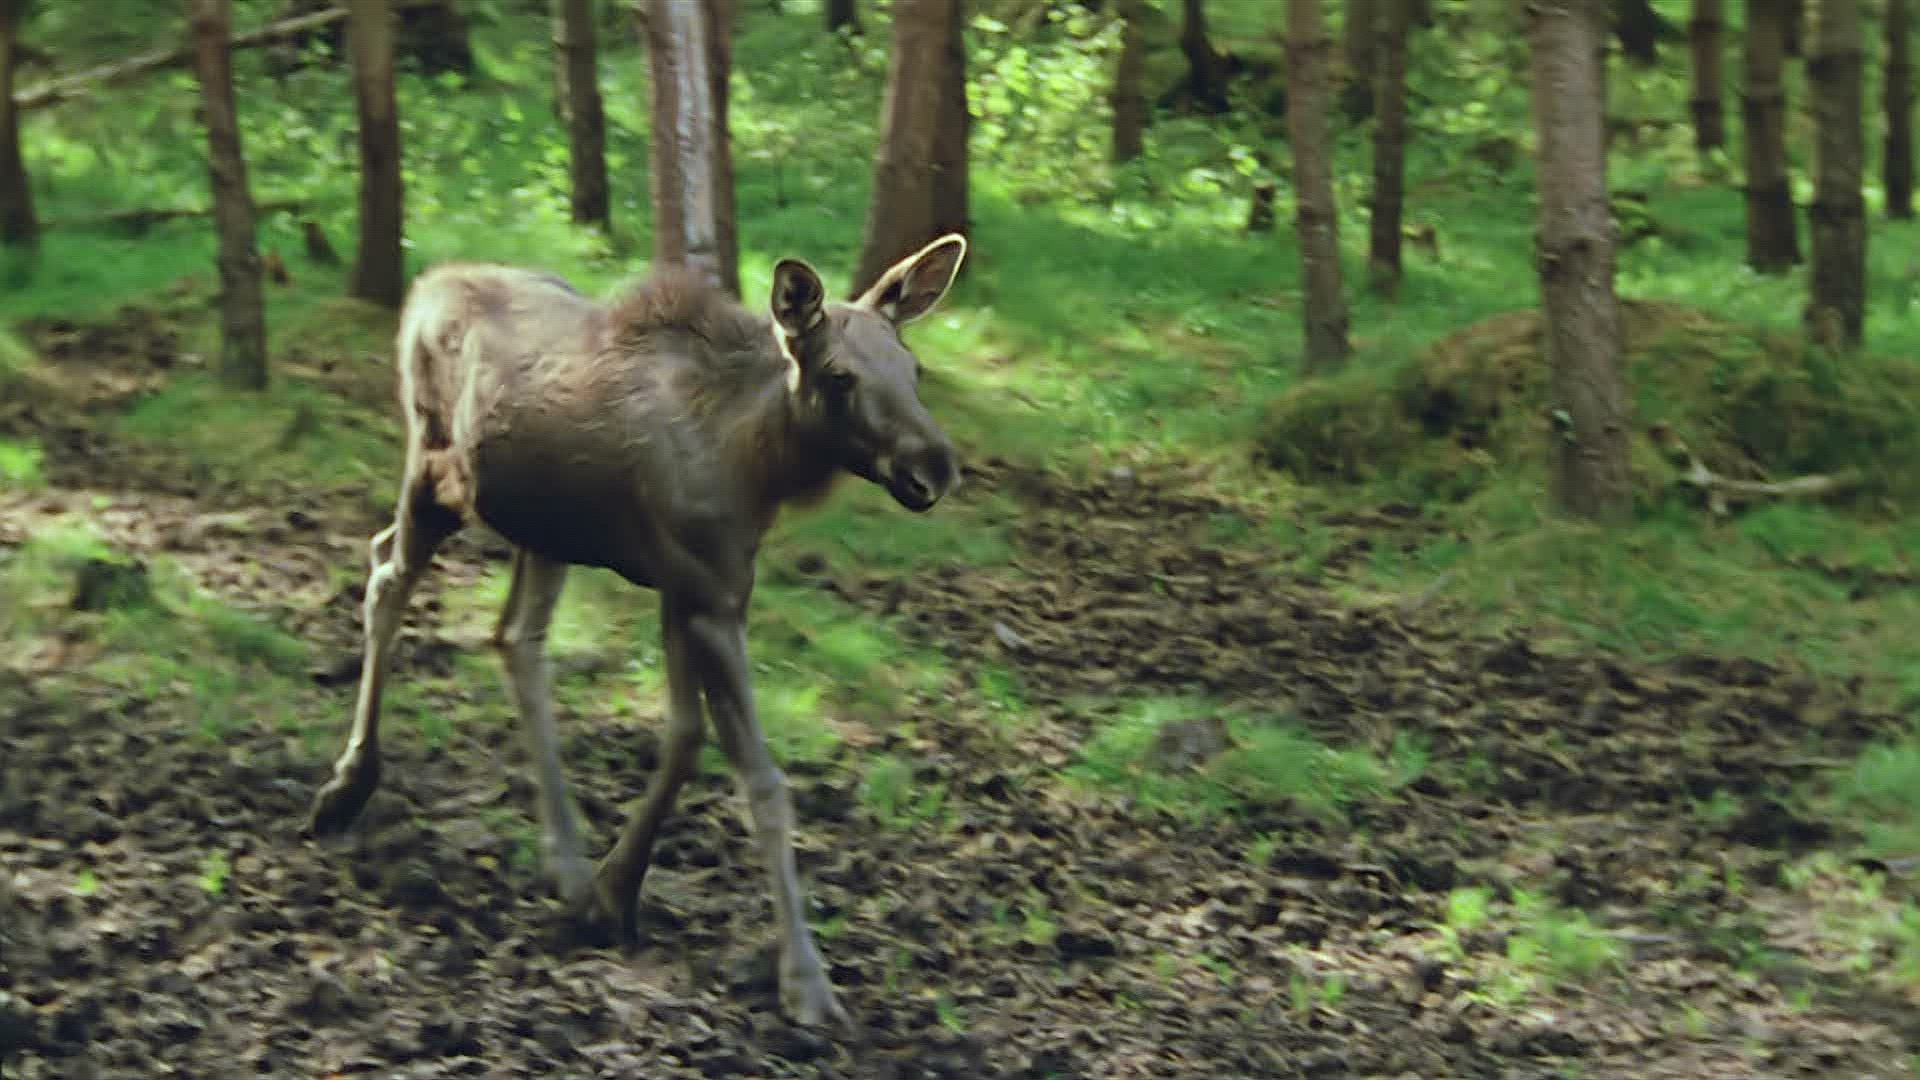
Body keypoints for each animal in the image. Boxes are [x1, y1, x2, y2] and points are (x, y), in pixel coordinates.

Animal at [302, 235, 969, 1030]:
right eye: (839, 376)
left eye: (913, 369)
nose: (935, 467)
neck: (760, 463)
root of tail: (427, 285)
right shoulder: (706, 597)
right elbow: (762, 782)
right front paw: (807, 983)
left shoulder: (693, 593)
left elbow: (683, 739)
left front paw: (612, 891)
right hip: (435, 475)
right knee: (385, 578)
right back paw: (347, 786)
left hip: (543, 531)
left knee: (513, 637)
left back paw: (564, 858)